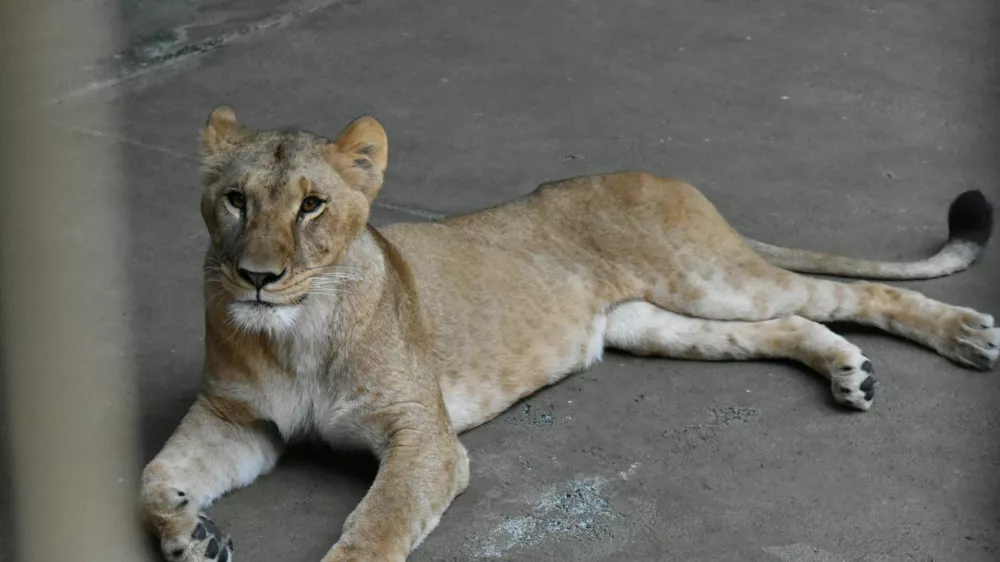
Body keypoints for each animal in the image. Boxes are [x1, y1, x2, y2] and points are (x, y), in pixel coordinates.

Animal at [140, 107, 997, 562]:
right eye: (237, 200)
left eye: (312, 205)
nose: (256, 276)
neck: (297, 332)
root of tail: (664, 177)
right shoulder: (237, 420)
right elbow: (153, 479)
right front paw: (191, 534)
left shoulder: (423, 436)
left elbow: (377, 524)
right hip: (653, 321)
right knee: (792, 322)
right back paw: (852, 371)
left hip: (714, 279)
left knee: (853, 291)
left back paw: (967, 337)